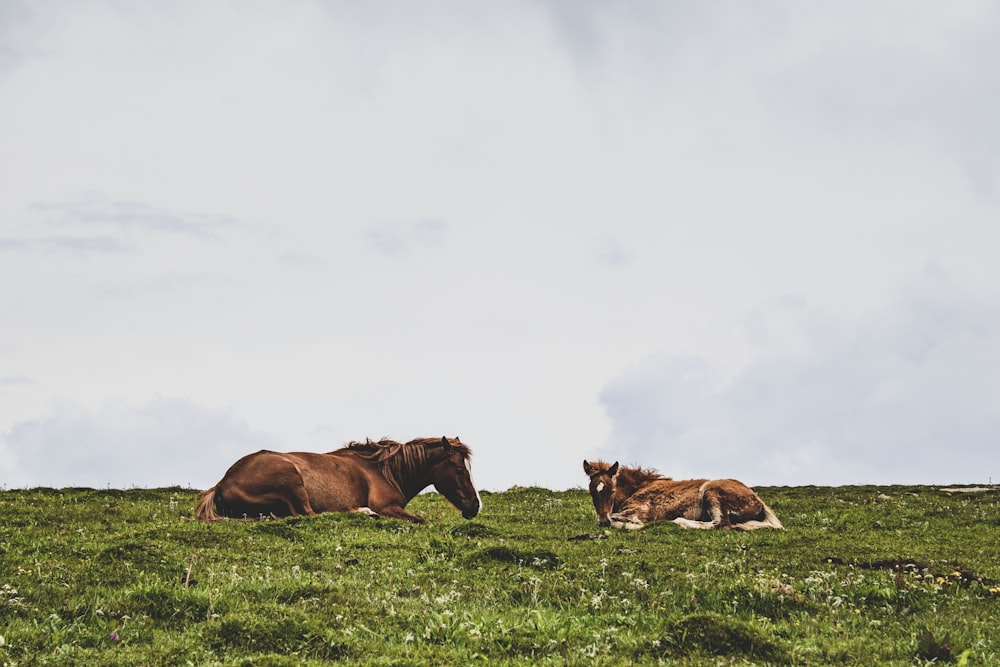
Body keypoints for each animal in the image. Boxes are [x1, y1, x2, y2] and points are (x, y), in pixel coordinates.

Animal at [194, 438, 480, 528]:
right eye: (459, 469)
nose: (475, 506)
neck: (383, 470)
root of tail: (221, 484)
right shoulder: (387, 507)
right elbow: (421, 519)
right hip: (291, 479)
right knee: (310, 514)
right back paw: (364, 512)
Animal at [584, 460, 780, 532]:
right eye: (592, 492)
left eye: (612, 490)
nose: (603, 522)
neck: (636, 489)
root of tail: (759, 502)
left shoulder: (639, 512)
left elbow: (625, 521)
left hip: (711, 492)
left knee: (721, 524)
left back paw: (679, 522)